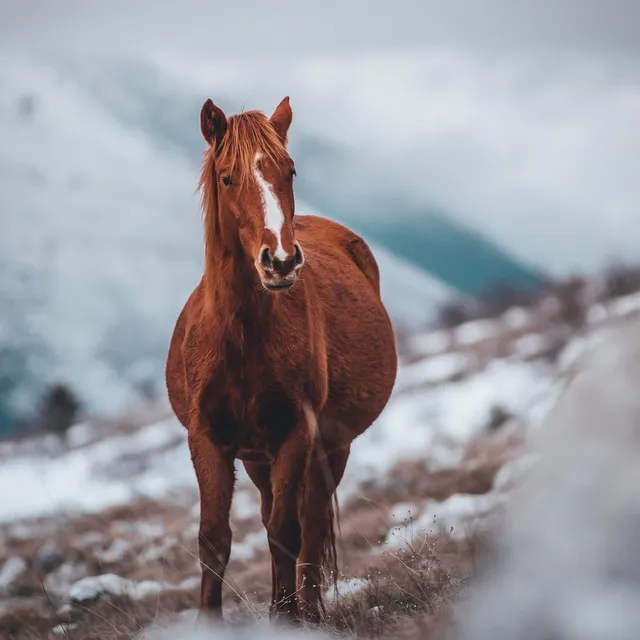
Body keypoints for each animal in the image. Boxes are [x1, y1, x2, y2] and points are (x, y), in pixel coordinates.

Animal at [165, 96, 396, 624]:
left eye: (289, 171)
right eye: (227, 177)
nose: (282, 261)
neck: (242, 338)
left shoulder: (297, 434)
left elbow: (287, 533)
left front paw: (290, 620)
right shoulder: (208, 439)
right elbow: (215, 540)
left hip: (331, 445)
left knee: (308, 523)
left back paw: (305, 609)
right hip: (257, 457)